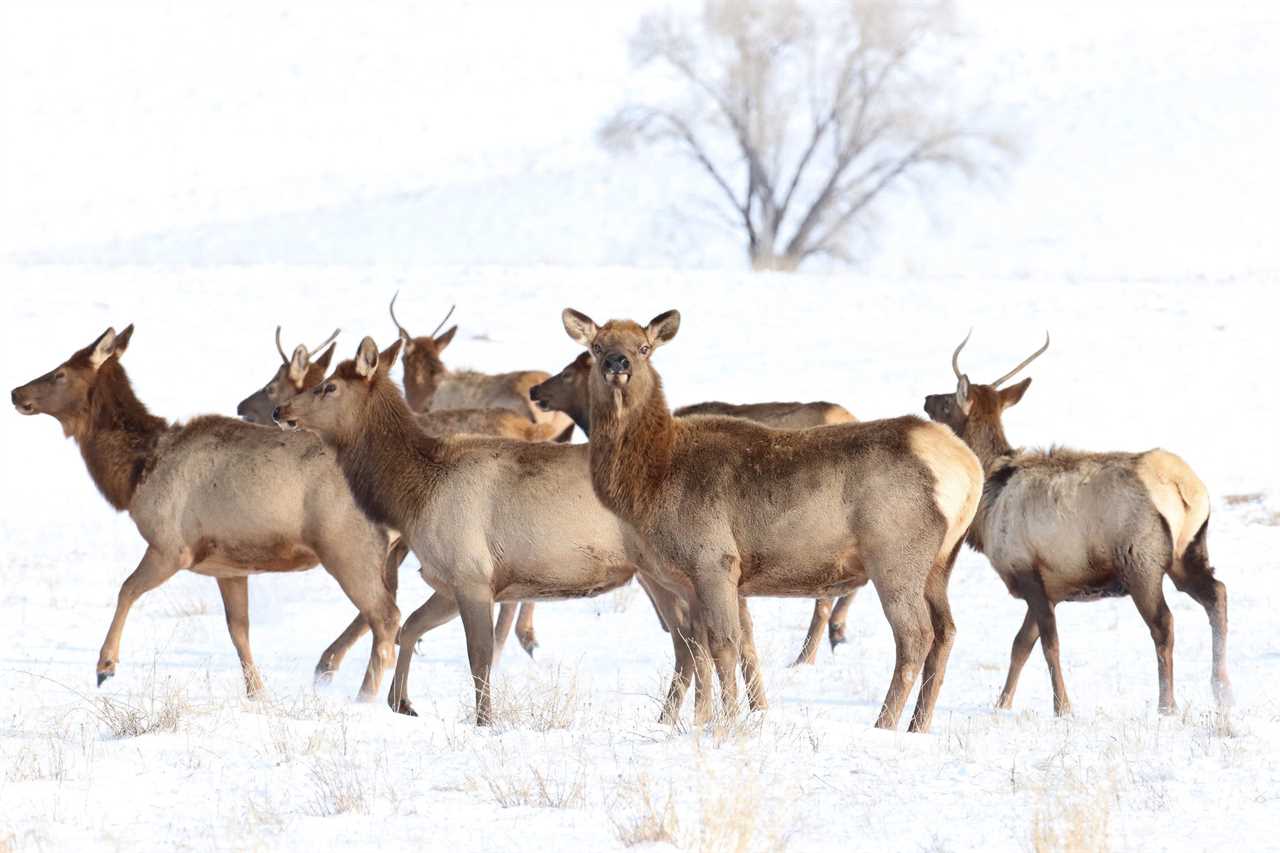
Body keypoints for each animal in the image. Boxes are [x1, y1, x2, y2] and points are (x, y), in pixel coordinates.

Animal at [275, 335, 762, 722]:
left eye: (328, 386)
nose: (281, 410)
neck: (412, 494)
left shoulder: (471, 574)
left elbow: (479, 655)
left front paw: (484, 720)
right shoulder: (450, 580)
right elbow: (410, 627)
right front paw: (403, 702)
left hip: (672, 567)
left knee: (694, 639)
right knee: (691, 640)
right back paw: (674, 718)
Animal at [560, 308, 977, 727]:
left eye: (644, 347)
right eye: (598, 346)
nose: (618, 363)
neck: (651, 479)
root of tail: (968, 466)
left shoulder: (713, 560)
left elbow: (723, 645)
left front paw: (725, 721)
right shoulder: (698, 578)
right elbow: (706, 648)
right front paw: (701, 720)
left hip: (895, 555)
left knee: (916, 636)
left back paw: (884, 724)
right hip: (940, 563)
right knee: (947, 632)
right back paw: (917, 726)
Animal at [921, 333, 1228, 712]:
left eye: (949, 401)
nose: (927, 399)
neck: (990, 495)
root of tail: (1183, 486)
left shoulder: (1028, 570)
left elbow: (1048, 645)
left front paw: (1062, 707)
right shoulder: (1051, 586)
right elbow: (1020, 646)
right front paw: (1002, 704)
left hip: (1140, 560)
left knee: (1164, 624)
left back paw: (1166, 705)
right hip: (1189, 551)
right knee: (1217, 594)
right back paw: (1222, 690)